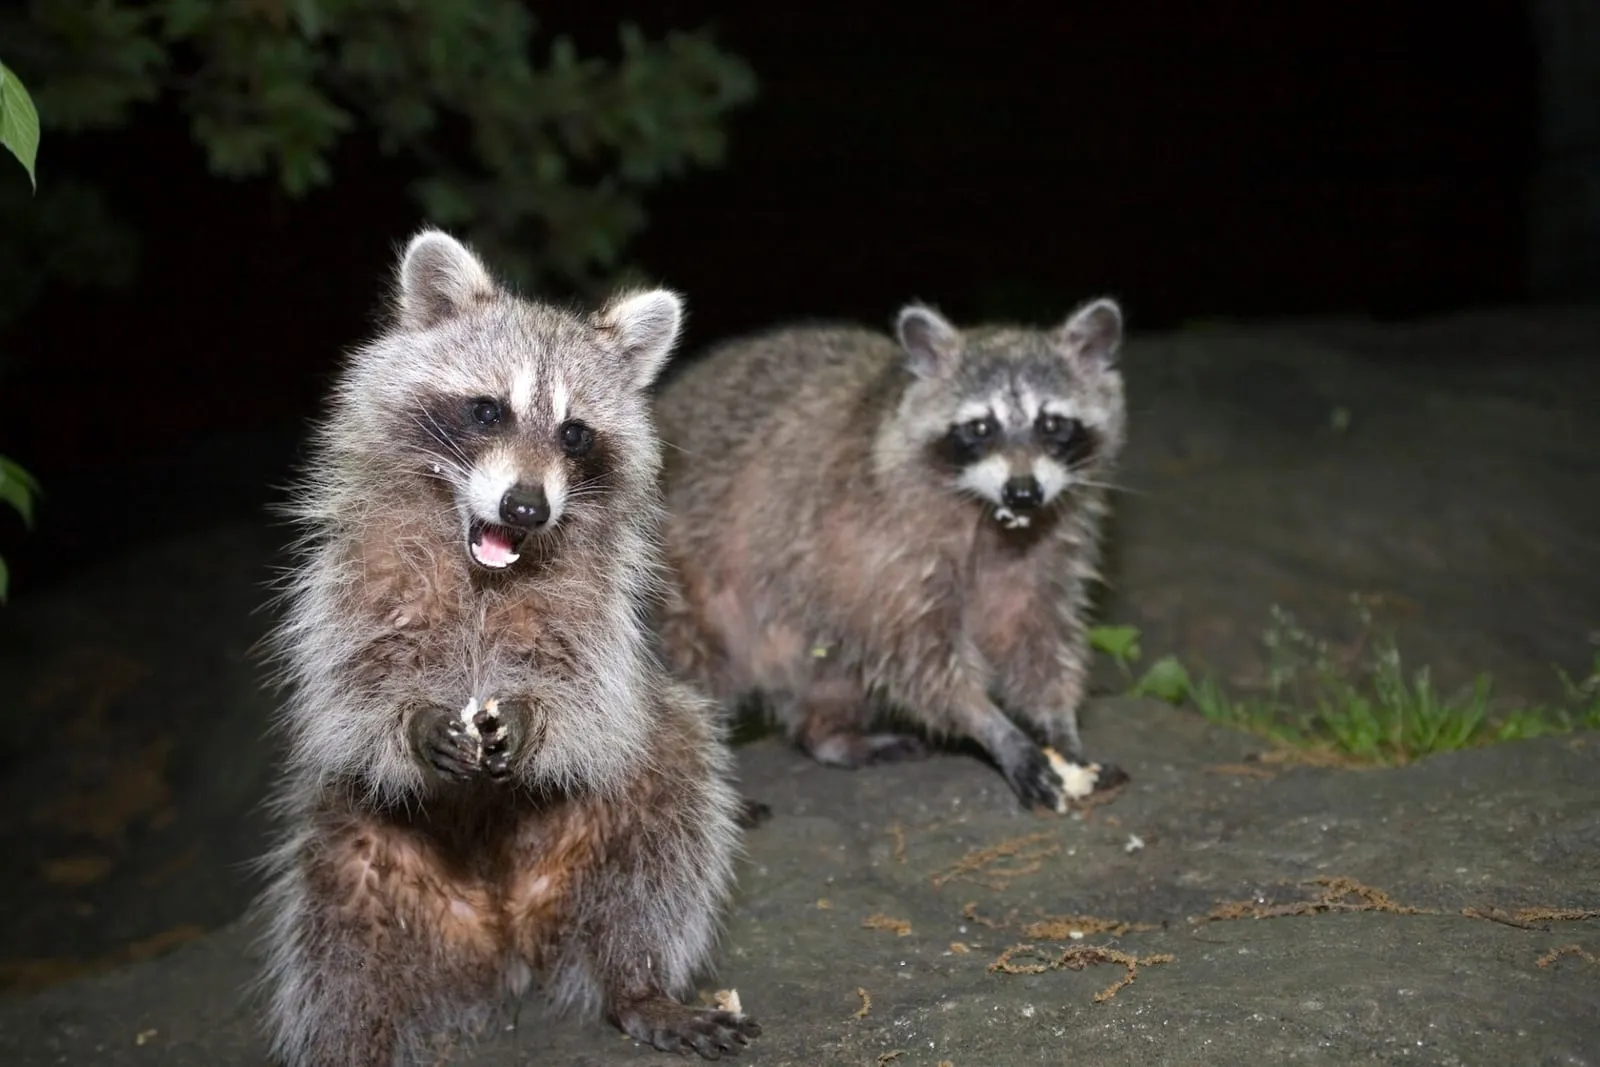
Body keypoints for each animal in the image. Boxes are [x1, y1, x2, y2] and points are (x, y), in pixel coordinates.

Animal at [252, 229, 760, 1066]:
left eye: (574, 432)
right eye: (488, 410)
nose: (526, 506)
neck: (488, 569)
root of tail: (505, 930)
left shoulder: (601, 603)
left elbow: (590, 688)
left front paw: (533, 714)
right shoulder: (344, 578)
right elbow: (351, 684)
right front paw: (411, 720)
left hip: (612, 825)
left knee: (669, 804)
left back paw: (637, 981)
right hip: (354, 844)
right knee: (336, 941)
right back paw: (354, 1039)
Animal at [654, 299, 1129, 813]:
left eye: (1052, 424)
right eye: (981, 427)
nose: (1023, 492)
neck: (993, 518)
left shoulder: (1047, 547)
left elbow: (1036, 633)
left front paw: (1060, 724)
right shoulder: (879, 545)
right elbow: (917, 656)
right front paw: (993, 727)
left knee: (830, 668)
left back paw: (830, 733)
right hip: (676, 579)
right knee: (687, 667)